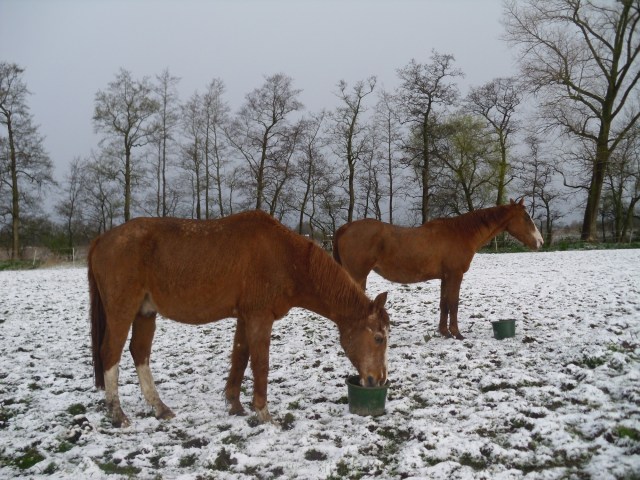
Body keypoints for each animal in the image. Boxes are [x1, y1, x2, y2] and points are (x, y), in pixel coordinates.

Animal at [88, 210, 389, 427]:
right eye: (378, 338)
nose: (378, 380)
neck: (285, 258)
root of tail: (102, 239)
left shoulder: (245, 318)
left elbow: (241, 357)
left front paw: (236, 406)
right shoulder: (259, 318)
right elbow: (260, 364)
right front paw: (264, 413)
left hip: (145, 313)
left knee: (139, 353)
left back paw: (160, 409)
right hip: (122, 311)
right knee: (111, 353)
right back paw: (118, 414)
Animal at [333, 199, 543, 340]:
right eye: (526, 217)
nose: (540, 242)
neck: (460, 233)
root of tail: (345, 228)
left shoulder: (445, 277)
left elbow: (444, 304)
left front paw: (444, 332)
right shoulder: (455, 275)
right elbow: (454, 304)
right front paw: (457, 334)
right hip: (358, 276)